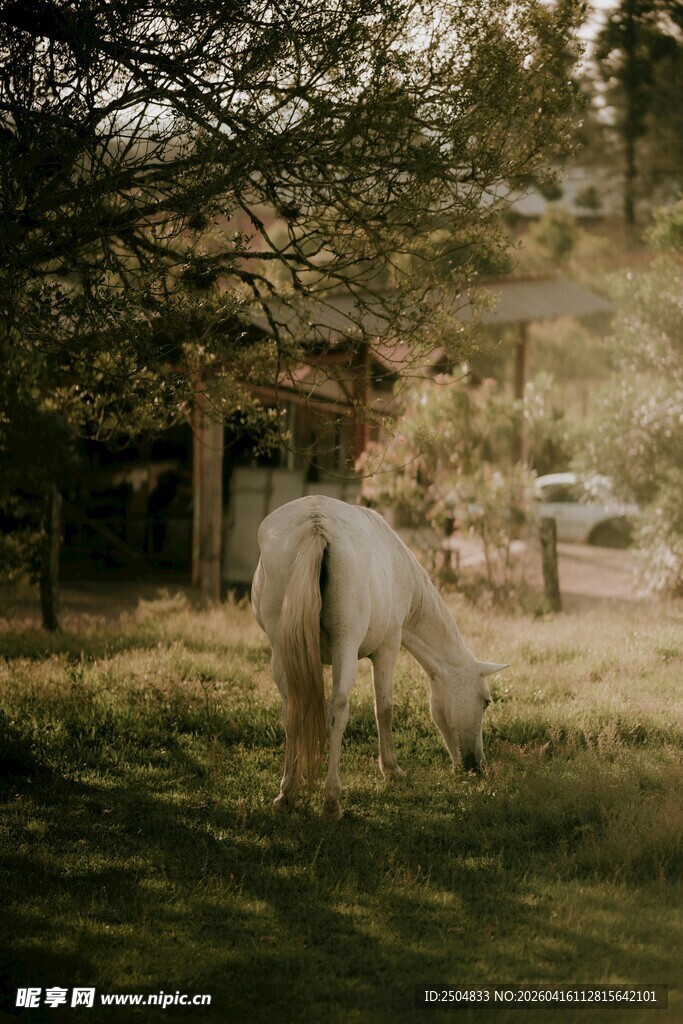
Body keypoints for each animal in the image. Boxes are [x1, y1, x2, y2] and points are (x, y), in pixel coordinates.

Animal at [251, 494, 507, 820]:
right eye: (486, 702)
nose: (477, 766)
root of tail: (315, 525)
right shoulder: (387, 647)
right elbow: (384, 708)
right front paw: (392, 769)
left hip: (280, 648)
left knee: (291, 710)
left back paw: (287, 793)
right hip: (345, 644)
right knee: (338, 710)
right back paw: (332, 801)